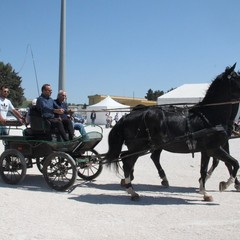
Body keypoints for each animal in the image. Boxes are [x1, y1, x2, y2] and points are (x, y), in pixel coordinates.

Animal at [106, 63, 240, 201]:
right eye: (237, 77)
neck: (209, 116)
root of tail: (126, 116)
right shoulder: (214, 148)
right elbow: (234, 163)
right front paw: (226, 184)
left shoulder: (207, 150)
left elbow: (205, 169)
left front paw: (204, 191)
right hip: (140, 147)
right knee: (128, 161)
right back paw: (132, 190)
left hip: (143, 147)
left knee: (129, 158)